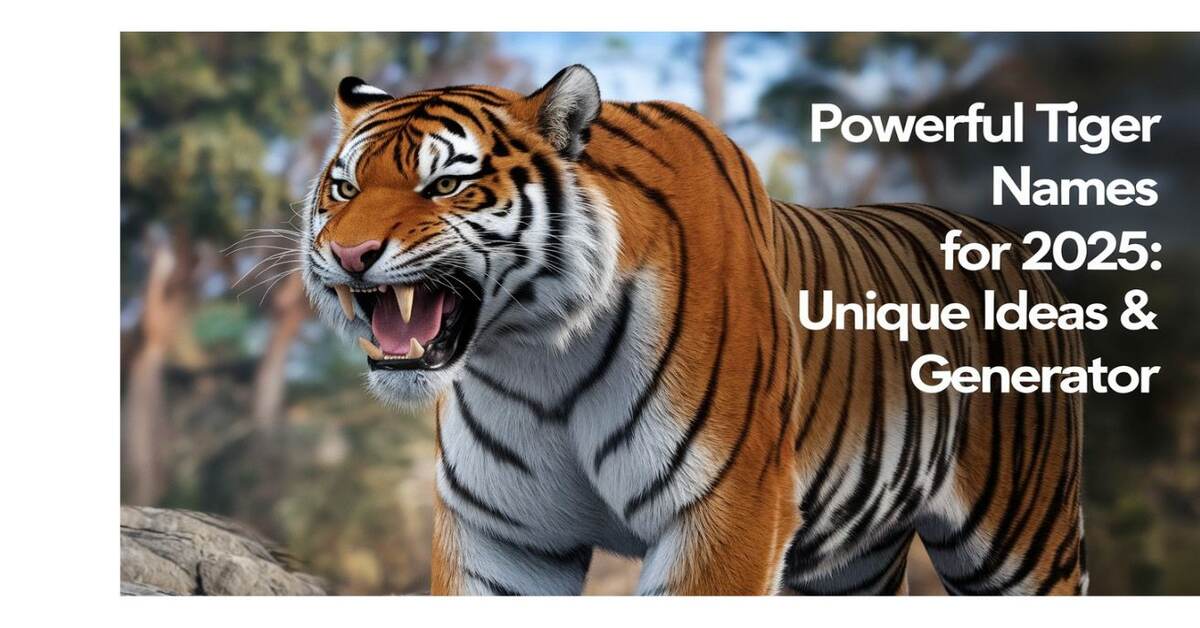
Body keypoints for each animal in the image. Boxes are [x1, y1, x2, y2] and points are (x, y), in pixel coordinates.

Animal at [300, 64, 1087, 595]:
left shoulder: (729, 510)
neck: (538, 352)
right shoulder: (500, 535)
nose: (349, 253)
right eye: (345, 188)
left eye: (446, 186)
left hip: (1021, 540)